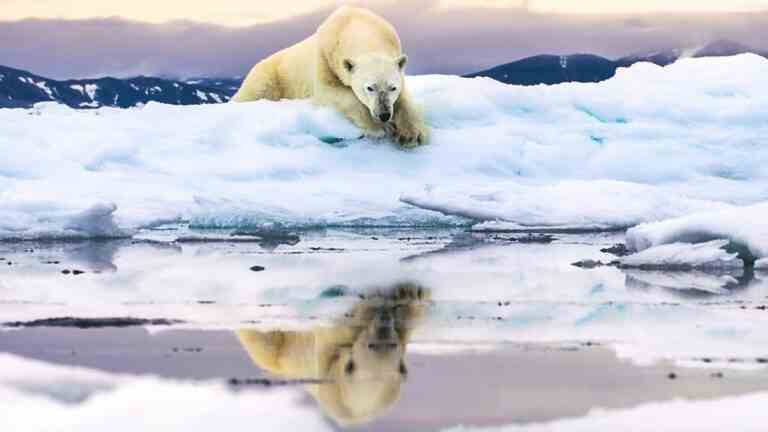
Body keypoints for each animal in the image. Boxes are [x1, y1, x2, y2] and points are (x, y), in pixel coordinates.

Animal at [231, 6, 428, 147]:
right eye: (369, 88)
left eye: (392, 87)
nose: (384, 114)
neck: (355, 23)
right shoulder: (325, 58)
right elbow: (332, 92)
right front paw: (379, 128)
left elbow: (405, 99)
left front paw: (410, 134)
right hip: (268, 76)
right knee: (253, 91)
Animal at [237, 282, 428, 426]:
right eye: (372, 344)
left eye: (390, 344)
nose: (384, 319)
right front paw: (405, 293)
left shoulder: (329, 375)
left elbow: (333, 331)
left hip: (281, 352)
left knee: (264, 342)